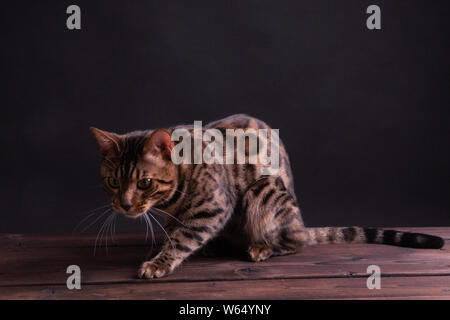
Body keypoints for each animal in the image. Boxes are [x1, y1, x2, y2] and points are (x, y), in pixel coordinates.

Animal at [89, 114, 444, 278]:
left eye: (145, 183)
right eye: (112, 181)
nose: (124, 205)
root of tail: (301, 223)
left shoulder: (214, 207)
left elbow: (181, 238)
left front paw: (159, 262)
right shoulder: (174, 216)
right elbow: (174, 232)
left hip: (264, 191)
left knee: (294, 242)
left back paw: (262, 247)